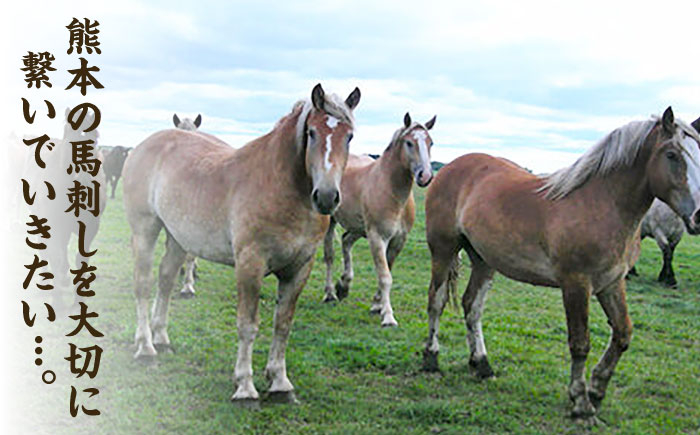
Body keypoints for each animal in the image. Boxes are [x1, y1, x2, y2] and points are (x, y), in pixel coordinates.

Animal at [122, 84, 360, 404]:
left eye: (349, 136)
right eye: (311, 132)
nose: (326, 196)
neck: (281, 187)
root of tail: (143, 146)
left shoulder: (300, 268)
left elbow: (283, 325)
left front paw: (280, 383)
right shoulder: (250, 264)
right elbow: (248, 325)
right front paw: (245, 387)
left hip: (178, 237)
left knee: (166, 278)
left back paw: (161, 338)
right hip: (145, 230)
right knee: (143, 284)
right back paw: (146, 348)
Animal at [322, 112, 436, 327]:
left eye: (430, 142)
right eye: (409, 143)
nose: (425, 176)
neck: (390, 190)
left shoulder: (398, 241)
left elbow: (387, 269)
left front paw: (376, 305)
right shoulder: (377, 237)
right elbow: (385, 276)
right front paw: (388, 316)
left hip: (358, 228)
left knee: (346, 241)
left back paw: (344, 285)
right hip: (332, 222)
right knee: (329, 255)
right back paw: (330, 293)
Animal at [422, 107, 700, 422]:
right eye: (672, 154)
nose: (699, 216)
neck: (601, 203)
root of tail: (447, 169)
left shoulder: (611, 283)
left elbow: (622, 334)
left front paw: (597, 390)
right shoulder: (576, 284)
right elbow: (580, 343)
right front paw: (581, 402)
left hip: (483, 260)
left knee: (472, 306)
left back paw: (482, 364)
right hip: (443, 250)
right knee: (436, 301)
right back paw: (431, 359)